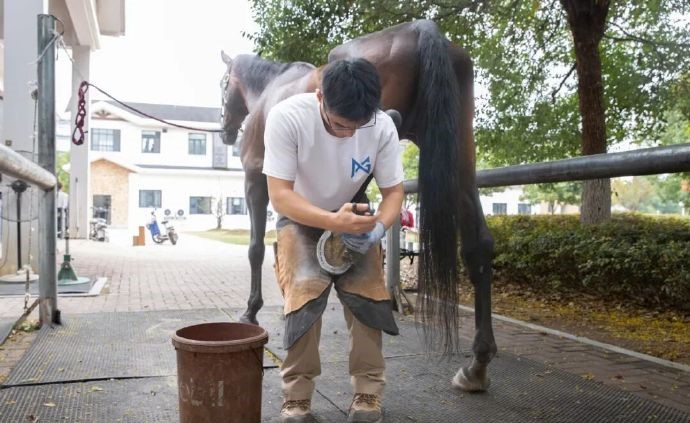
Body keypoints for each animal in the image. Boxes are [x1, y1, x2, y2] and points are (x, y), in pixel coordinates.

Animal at [220, 19, 496, 391]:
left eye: (223, 85)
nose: (224, 130)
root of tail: (421, 28)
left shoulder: (255, 179)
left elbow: (255, 249)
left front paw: (251, 311)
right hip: (459, 153)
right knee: (478, 245)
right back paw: (477, 364)